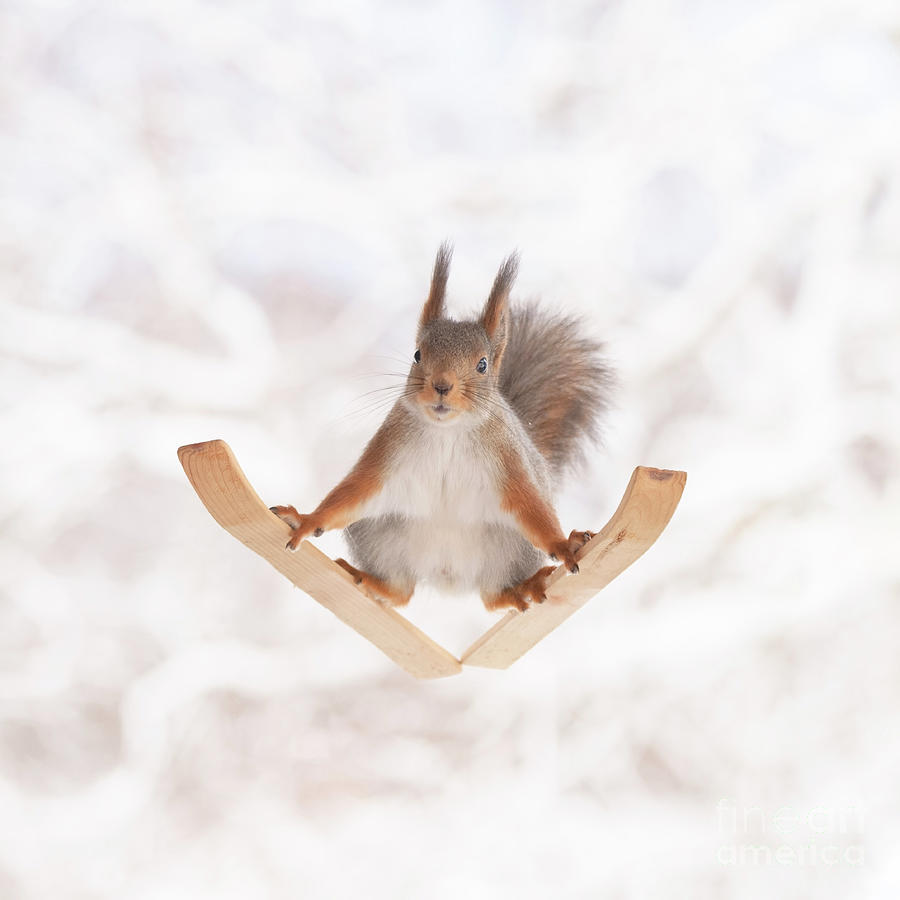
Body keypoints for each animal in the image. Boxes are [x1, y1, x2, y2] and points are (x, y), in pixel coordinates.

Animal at [270, 244, 613, 612]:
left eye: (482, 364)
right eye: (417, 354)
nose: (441, 385)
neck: (448, 430)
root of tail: (448, 579)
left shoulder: (508, 462)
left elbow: (530, 508)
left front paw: (563, 544)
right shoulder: (389, 450)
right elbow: (354, 493)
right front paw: (307, 520)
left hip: (508, 550)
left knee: (492, 597)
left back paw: (523, 588)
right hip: (383, 537)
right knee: (403, 592)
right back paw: (368, 579)